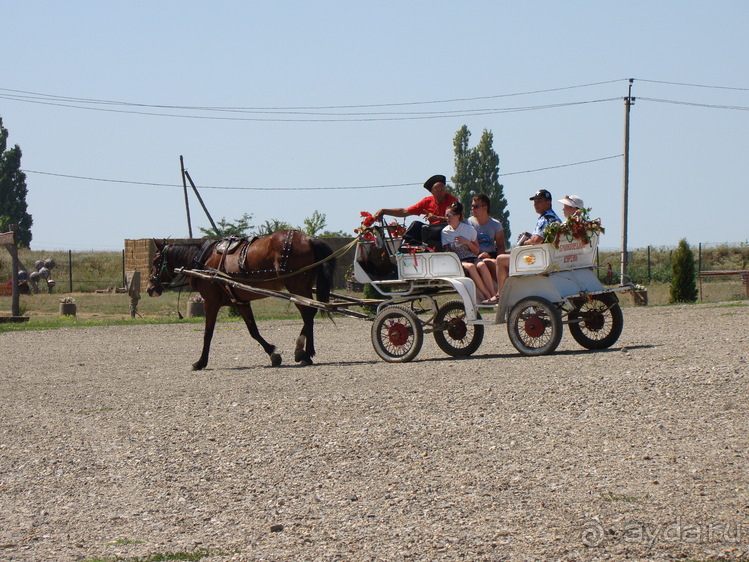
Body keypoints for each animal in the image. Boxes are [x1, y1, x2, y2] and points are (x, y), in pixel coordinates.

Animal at [145, 228, 334, 368]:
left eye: (155, 261)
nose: (149, 288)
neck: (204, 261)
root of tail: (309, 239)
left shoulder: (211, 302)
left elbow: (208, 333)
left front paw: (200, 362)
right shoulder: (240, 302)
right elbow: (253, 331)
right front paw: (272, 354)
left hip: (296, 286)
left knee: (308, 313)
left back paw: (302, 351)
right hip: (302, 287)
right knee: (310, 313)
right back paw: (306, 353)